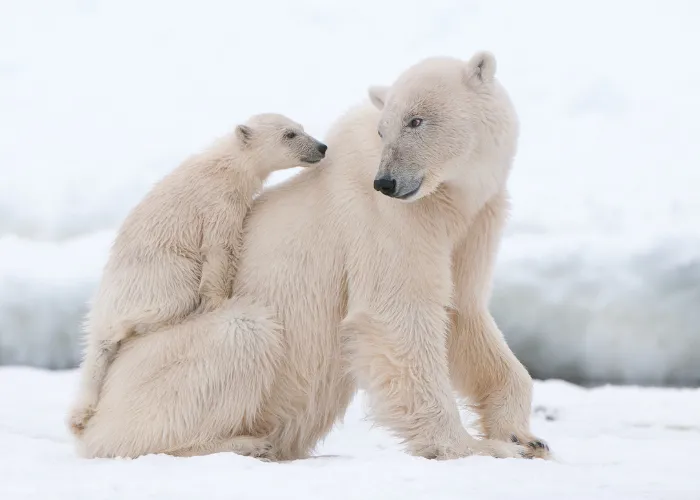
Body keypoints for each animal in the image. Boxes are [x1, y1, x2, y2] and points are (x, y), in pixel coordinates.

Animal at [78, 50, 548, 460]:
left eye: (416, 120)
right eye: (384, 129)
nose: (387, 182)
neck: (448, 199)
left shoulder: (473, 223)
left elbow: (464, 313)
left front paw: (525, 437)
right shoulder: (387, 220)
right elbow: (397, 314)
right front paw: (478, 447)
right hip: (161, 363)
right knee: (241, 334)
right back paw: (243, 443)